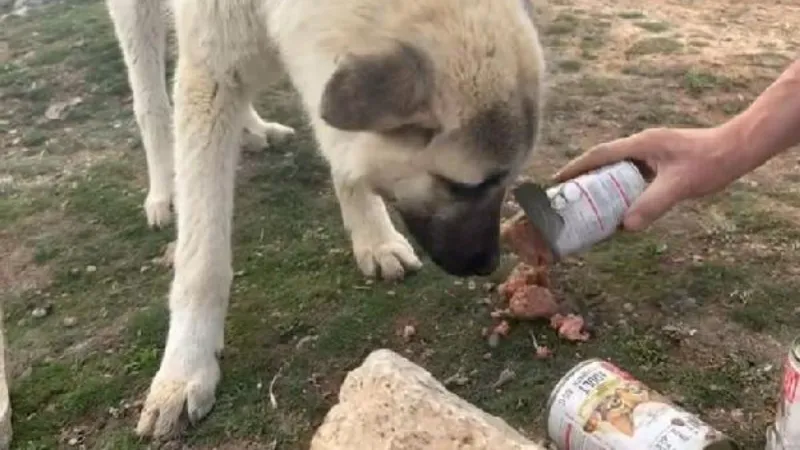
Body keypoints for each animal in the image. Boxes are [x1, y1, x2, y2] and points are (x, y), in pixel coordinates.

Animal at [104, 0, 544, 440]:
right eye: (464, 186)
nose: (489, 264)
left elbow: (340, 148)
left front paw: (375, 238)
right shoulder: (208, 71)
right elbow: (203, 262)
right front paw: (187, 368)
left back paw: (253, 129)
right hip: (137, 22)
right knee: (150, 102)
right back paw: (165, 191)